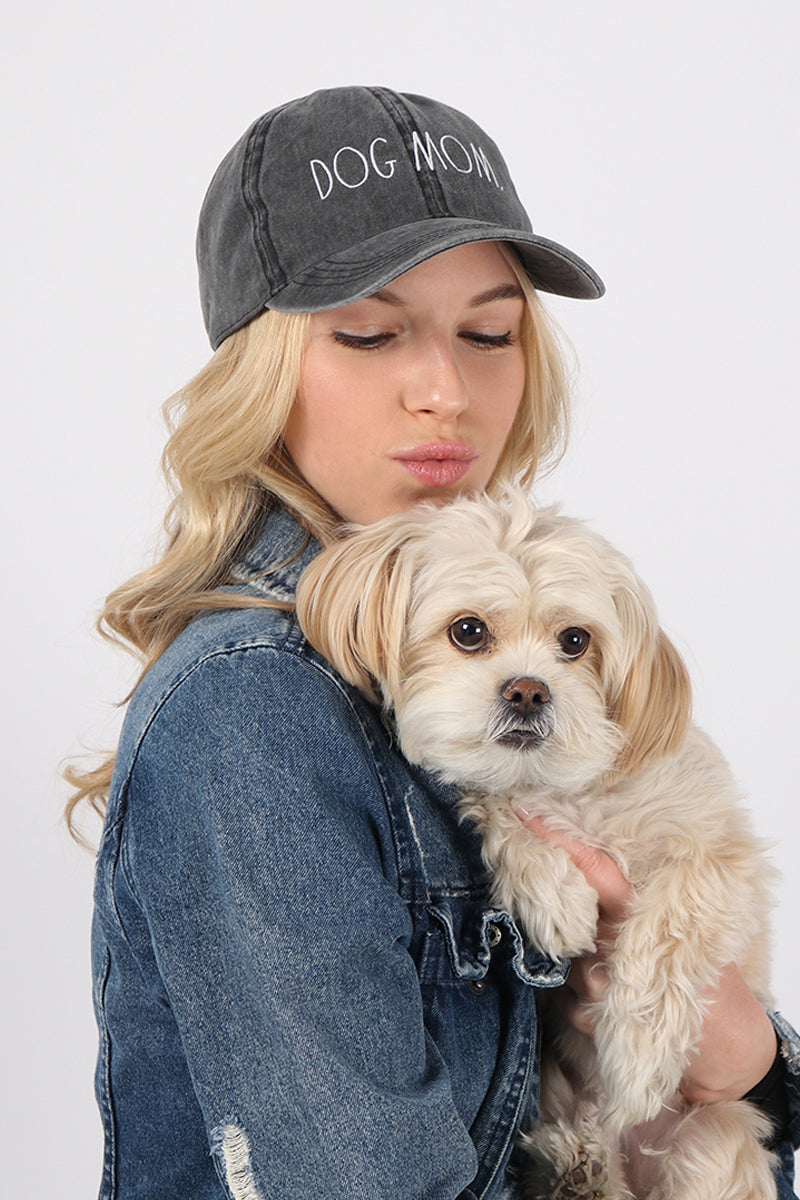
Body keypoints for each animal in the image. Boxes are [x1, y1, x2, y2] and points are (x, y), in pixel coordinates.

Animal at [296, 489, 777, 1200]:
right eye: (468, 631)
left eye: (575, 641)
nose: (528, 690)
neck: (574, 794)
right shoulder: (495, 794)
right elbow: (503, 810)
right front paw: (556, 897)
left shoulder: (719, 857)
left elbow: (668, 935)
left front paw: (638, 1057)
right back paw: (576, 1161)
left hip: (713, 1136)